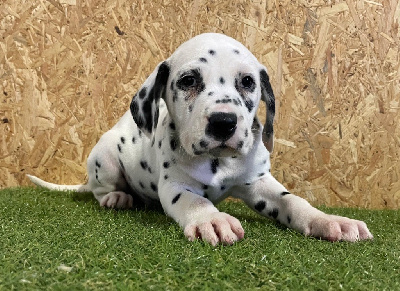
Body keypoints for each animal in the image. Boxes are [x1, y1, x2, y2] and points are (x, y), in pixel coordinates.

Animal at [28, 32, 372, 246]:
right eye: (189, 80)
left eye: (248, 82)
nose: (223, 122)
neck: (218, 161)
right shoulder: (176, 186)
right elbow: (194, 200)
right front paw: (213, 219)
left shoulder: (259, 182)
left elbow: (294, 201)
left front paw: (329, 221)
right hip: (106, 158)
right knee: (102, 188)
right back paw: (117, 197)